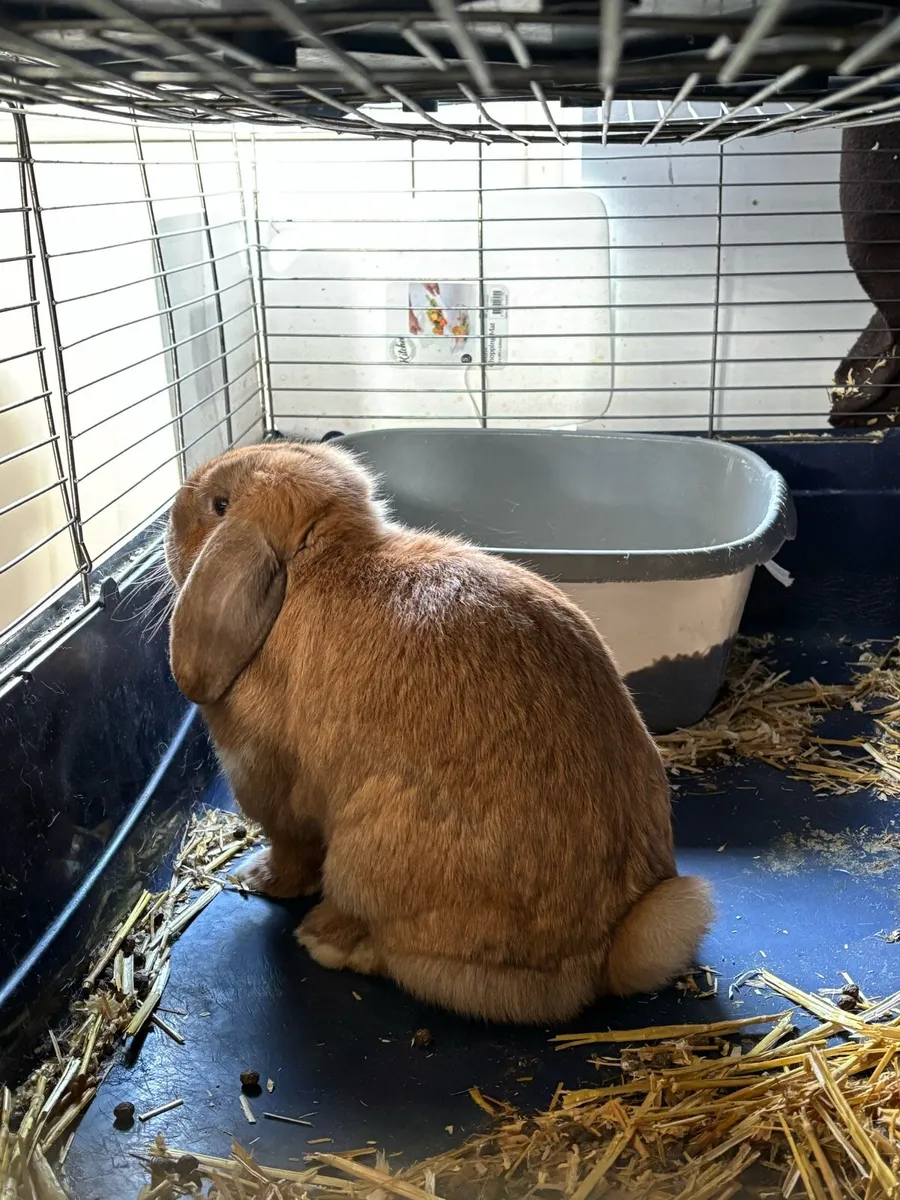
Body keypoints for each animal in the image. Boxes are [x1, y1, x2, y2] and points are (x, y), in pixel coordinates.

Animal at [165, 439, 713, 1023]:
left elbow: (290, 850)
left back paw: (325, 939)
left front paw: (255, 878)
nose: (171, 518)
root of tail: (601, 957)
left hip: (368, 857)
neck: (312, 565)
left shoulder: (269, 790)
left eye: (220, 506)